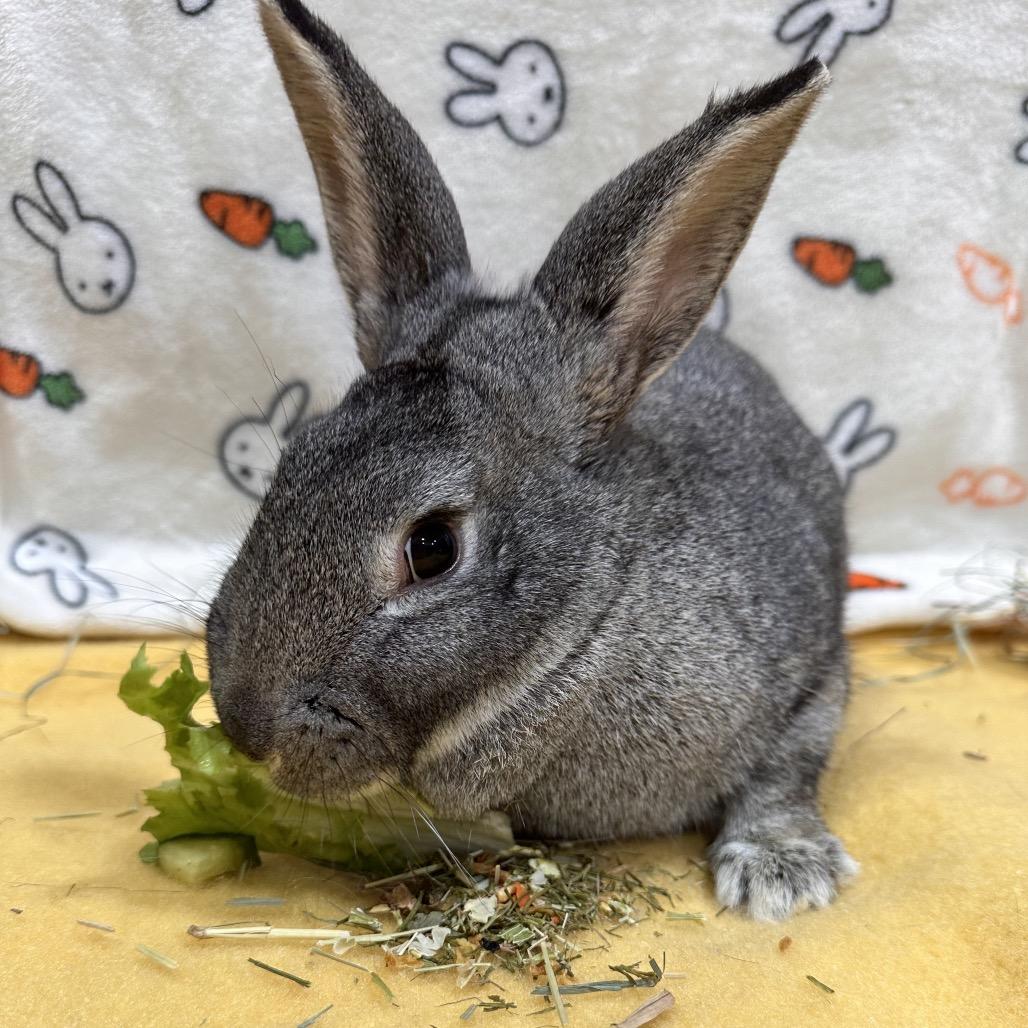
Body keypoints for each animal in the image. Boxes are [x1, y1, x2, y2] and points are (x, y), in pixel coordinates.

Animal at [207, 0, 856, 922]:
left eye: (433, 547)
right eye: (288, 463)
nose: (243, 725)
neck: (583, 630)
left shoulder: (810, 674)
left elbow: (787, 768)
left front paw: (779, 870)